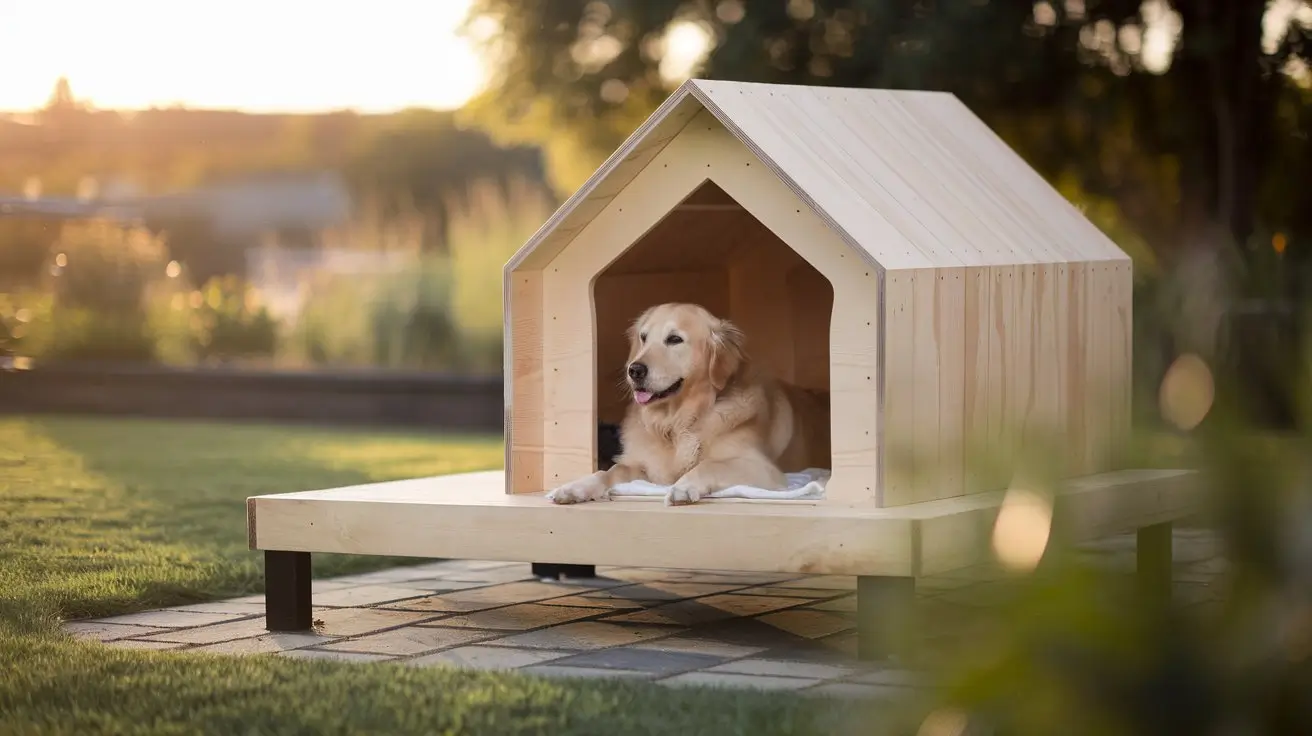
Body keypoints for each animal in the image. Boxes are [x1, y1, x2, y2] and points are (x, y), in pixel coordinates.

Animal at [548, 300, 823, 503]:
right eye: (644, 337)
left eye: (674, 339)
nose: (634, 370)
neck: (678, 422)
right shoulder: (648, 468)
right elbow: (613, 471)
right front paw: (577, 487)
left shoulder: (764, 469)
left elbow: (709, 465)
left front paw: (684, 486)